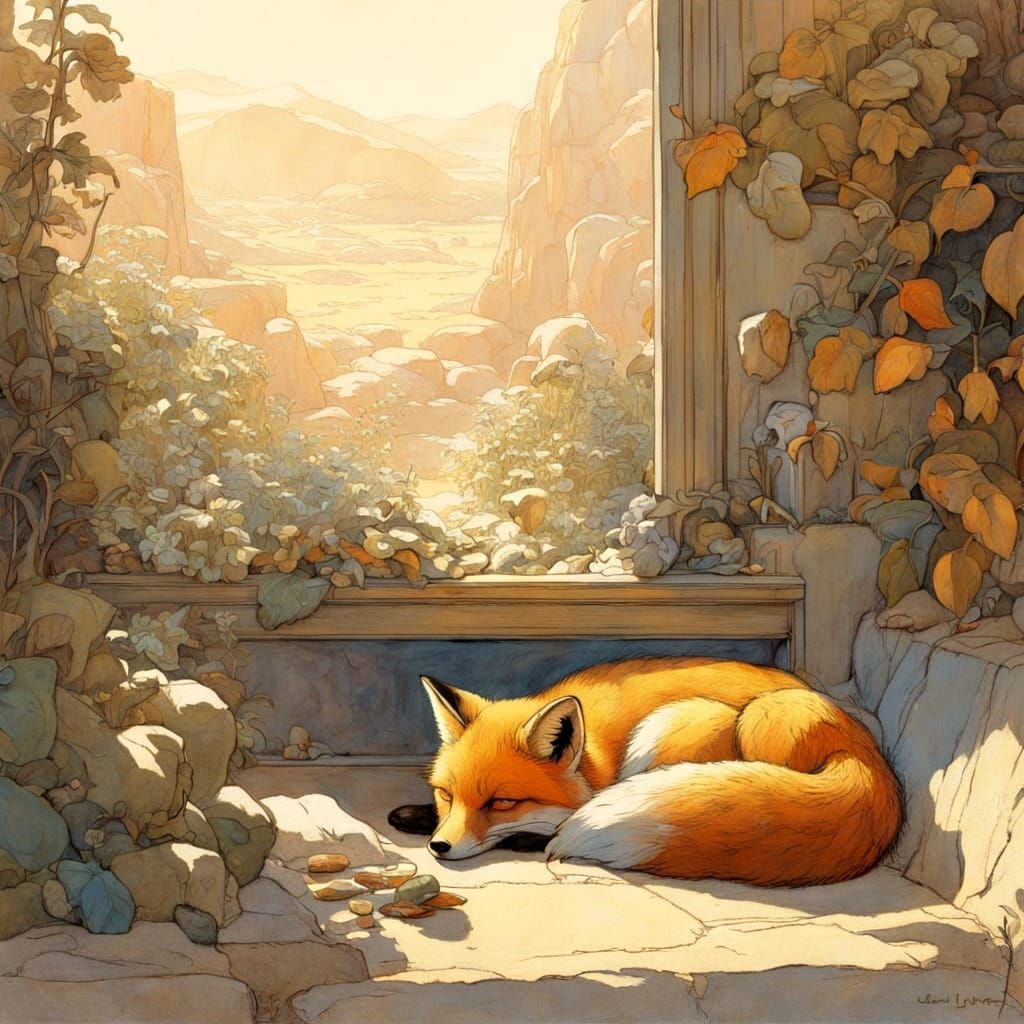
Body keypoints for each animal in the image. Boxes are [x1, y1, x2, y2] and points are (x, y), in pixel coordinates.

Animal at [409, 657, 902, 887]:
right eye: (446, 794)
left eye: (501, 803)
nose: (439, 847)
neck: (598, 756)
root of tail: (863, 750)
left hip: (703, 720)